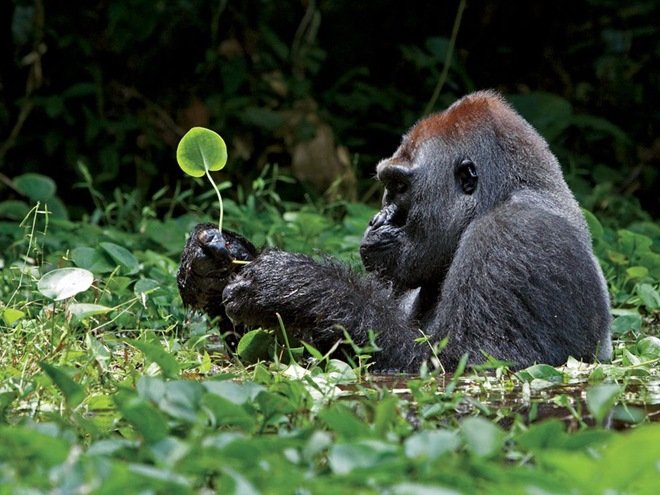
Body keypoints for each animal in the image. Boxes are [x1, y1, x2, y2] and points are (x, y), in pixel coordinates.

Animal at [177, 91, 612, 374]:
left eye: (399, 187)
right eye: (388, 185)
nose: (376, 219)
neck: (501, 195)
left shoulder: (516, 236)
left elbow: (465, 362)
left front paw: (296, 286)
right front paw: (213, 265)